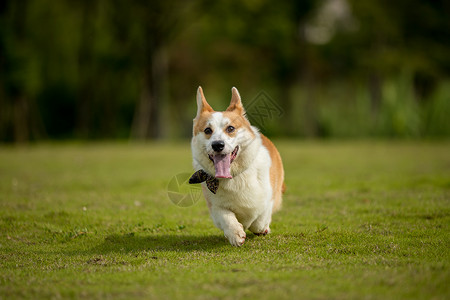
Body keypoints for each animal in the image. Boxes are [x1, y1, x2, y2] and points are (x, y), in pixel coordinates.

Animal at [190, 86, 284, 246]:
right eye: (208, 130)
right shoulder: (215, 206)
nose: (218, 145)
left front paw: (259, 228)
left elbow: (259, 219)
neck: (233, 176)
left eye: (230, 128)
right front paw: (235, 234)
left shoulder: (268, 198)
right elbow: (226, 216)